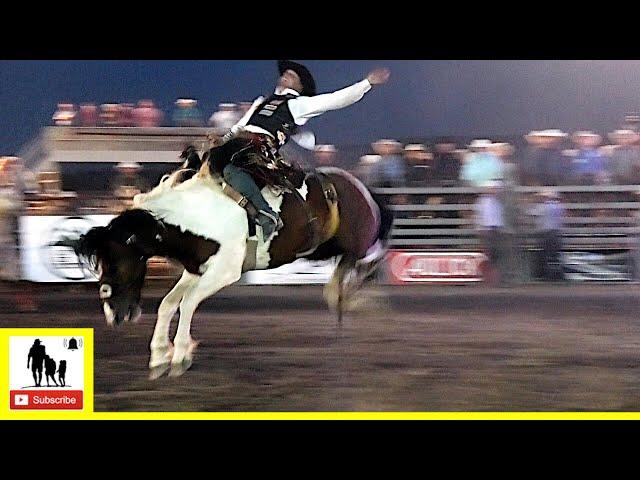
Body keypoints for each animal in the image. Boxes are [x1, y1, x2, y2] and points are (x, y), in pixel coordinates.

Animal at [77, 154, 392, 378]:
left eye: (117, 263)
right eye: (100, 263)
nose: (114, 315)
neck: (197, 216)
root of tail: (363, 189)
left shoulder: (224, 272)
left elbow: (187, 304)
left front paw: (180, 355)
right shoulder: (196, 269)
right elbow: (168, 304)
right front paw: (158, 356)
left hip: (358, 242)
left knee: (370, 260)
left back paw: (356, 298)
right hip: (329, 248)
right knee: (344, 276)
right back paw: (343, 300)